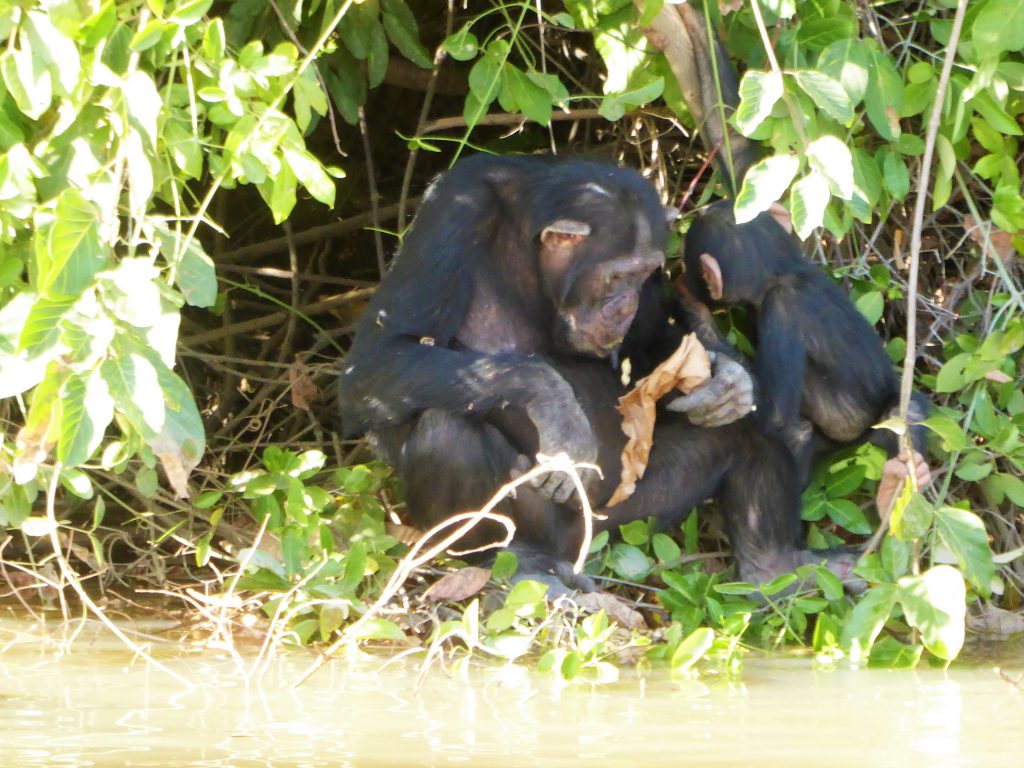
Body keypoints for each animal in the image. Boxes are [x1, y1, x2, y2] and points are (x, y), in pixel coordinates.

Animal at [339, 153, 860, 593]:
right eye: (615, 276)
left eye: (643, 274)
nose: (624, 304)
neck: (529, 254)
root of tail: (583, 552)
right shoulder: (451, 214)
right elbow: (378, 361)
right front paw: (555, 405)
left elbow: (651, 339)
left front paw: (727, 379)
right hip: (555, 531)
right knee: (445, 430)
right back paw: (515, 562)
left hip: (632, 517)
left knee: (751, 430)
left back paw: (774, 568)